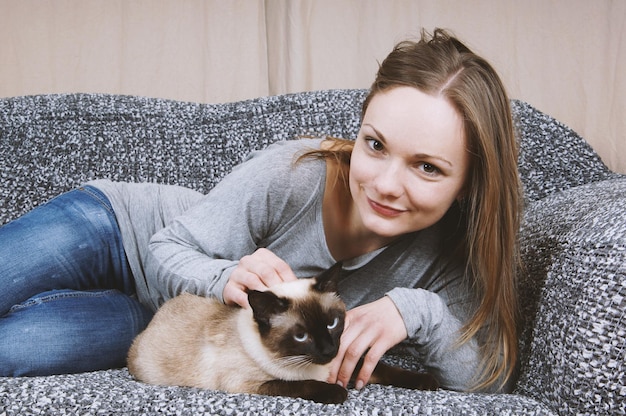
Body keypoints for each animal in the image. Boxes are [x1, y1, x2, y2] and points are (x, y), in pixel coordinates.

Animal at [126, 264, 436, 404]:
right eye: (301, 337)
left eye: (332, 323)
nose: (328, 351)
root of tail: (158, 314)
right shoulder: (249, 384)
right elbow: (300, 385)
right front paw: (338, 392)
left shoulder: (343, 362)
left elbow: (386, 369)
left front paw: (430, 381)